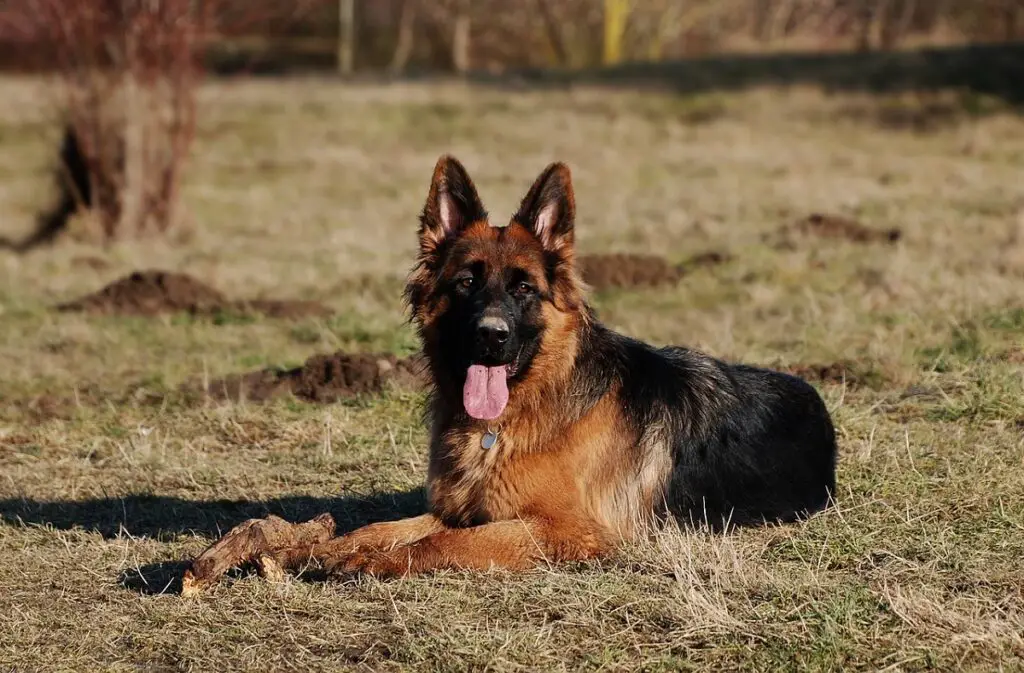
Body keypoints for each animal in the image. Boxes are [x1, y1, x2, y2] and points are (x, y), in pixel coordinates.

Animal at [274, 157, 839, 577]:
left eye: (524, 288)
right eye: (466, 283)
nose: (491, 336)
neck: (507, 422)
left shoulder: (566, 530)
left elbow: (448, 544)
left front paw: (373, 561)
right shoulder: (453, 509)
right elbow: (386, 528)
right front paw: (318, 548)